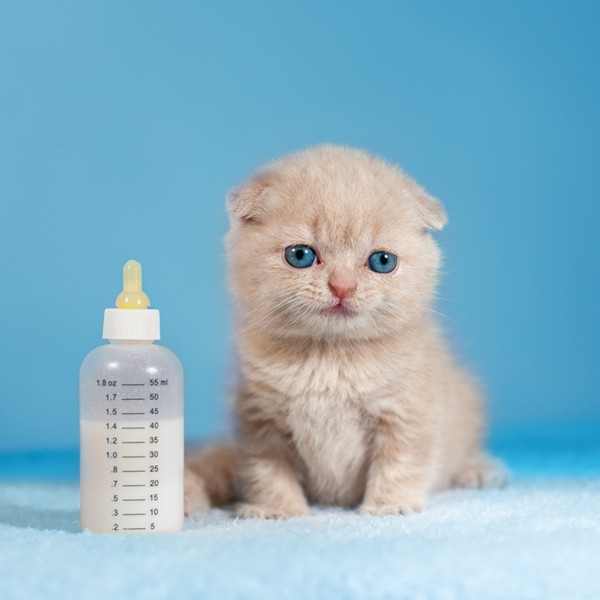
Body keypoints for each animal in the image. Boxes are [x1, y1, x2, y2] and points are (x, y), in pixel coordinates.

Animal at [186, 144, 506, 516]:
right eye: (300, 255)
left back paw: (479, 470)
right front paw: (278, 509)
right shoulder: (259, 420)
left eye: (382, 261)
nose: (342, 287)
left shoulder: (408, 413)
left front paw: (389, 505)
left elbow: (400, 462)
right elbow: (268, 469)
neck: (330, 356)